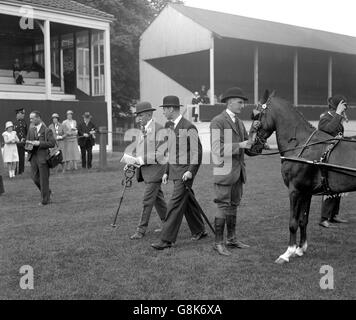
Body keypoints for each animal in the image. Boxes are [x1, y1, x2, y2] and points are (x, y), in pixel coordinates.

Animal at [252, 90, 356, 264]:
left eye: (257, 114)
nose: (250, 147)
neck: (301, 144)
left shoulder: (295, 190)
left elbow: (293, 222)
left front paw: (287, 252)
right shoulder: (306, 191)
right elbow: (303, 220)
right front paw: (300, 249)